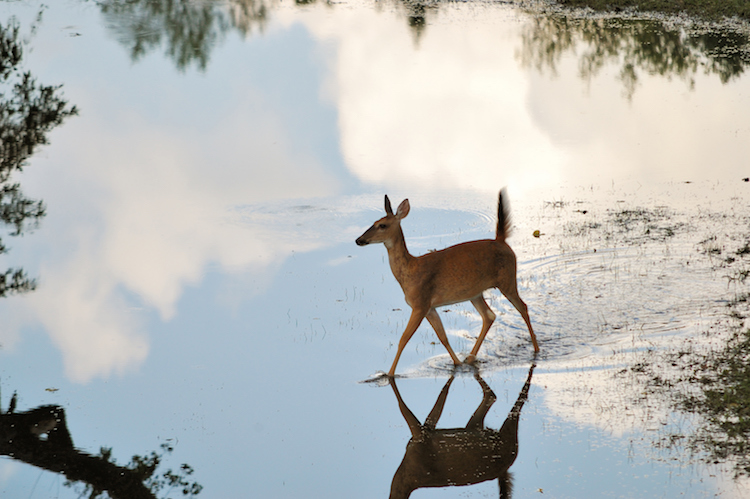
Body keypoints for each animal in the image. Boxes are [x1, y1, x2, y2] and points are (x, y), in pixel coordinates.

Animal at [356, 189, 538, 376]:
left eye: (382, 225)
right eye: (373, 222)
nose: (358, 240)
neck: (410, 271)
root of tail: (501, 241)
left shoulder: (420, 304)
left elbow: (403, 339)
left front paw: (388, 374)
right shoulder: (430, 308)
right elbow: (442, 337)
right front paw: (457, 363)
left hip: (507, 280)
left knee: (522, 307)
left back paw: (536, 349)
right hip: (475, 293)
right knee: (489, 315)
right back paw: (470, 358)